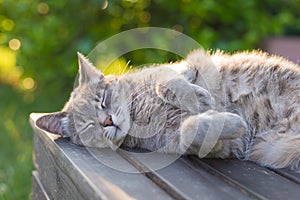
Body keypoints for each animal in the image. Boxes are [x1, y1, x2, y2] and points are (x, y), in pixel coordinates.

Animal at [35, 50, 300, 170]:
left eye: (102, 101)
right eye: (89, 125)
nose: (107, 120)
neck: (139, 115)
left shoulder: (184, 65)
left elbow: (169, 83)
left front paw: (200, 99)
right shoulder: (206, 144)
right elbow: (192, 129)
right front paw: (231, 121)